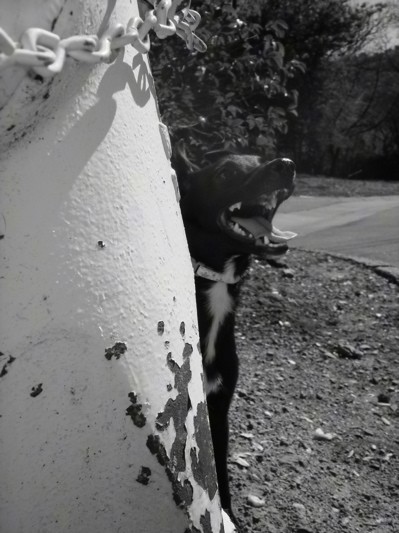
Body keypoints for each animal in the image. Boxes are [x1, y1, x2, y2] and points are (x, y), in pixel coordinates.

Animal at [175, 143, 296, 524]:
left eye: (260, 158)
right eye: (225, 173)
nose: (287, 165)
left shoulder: (219, 408)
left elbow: (222, 478)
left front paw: (228, 514)